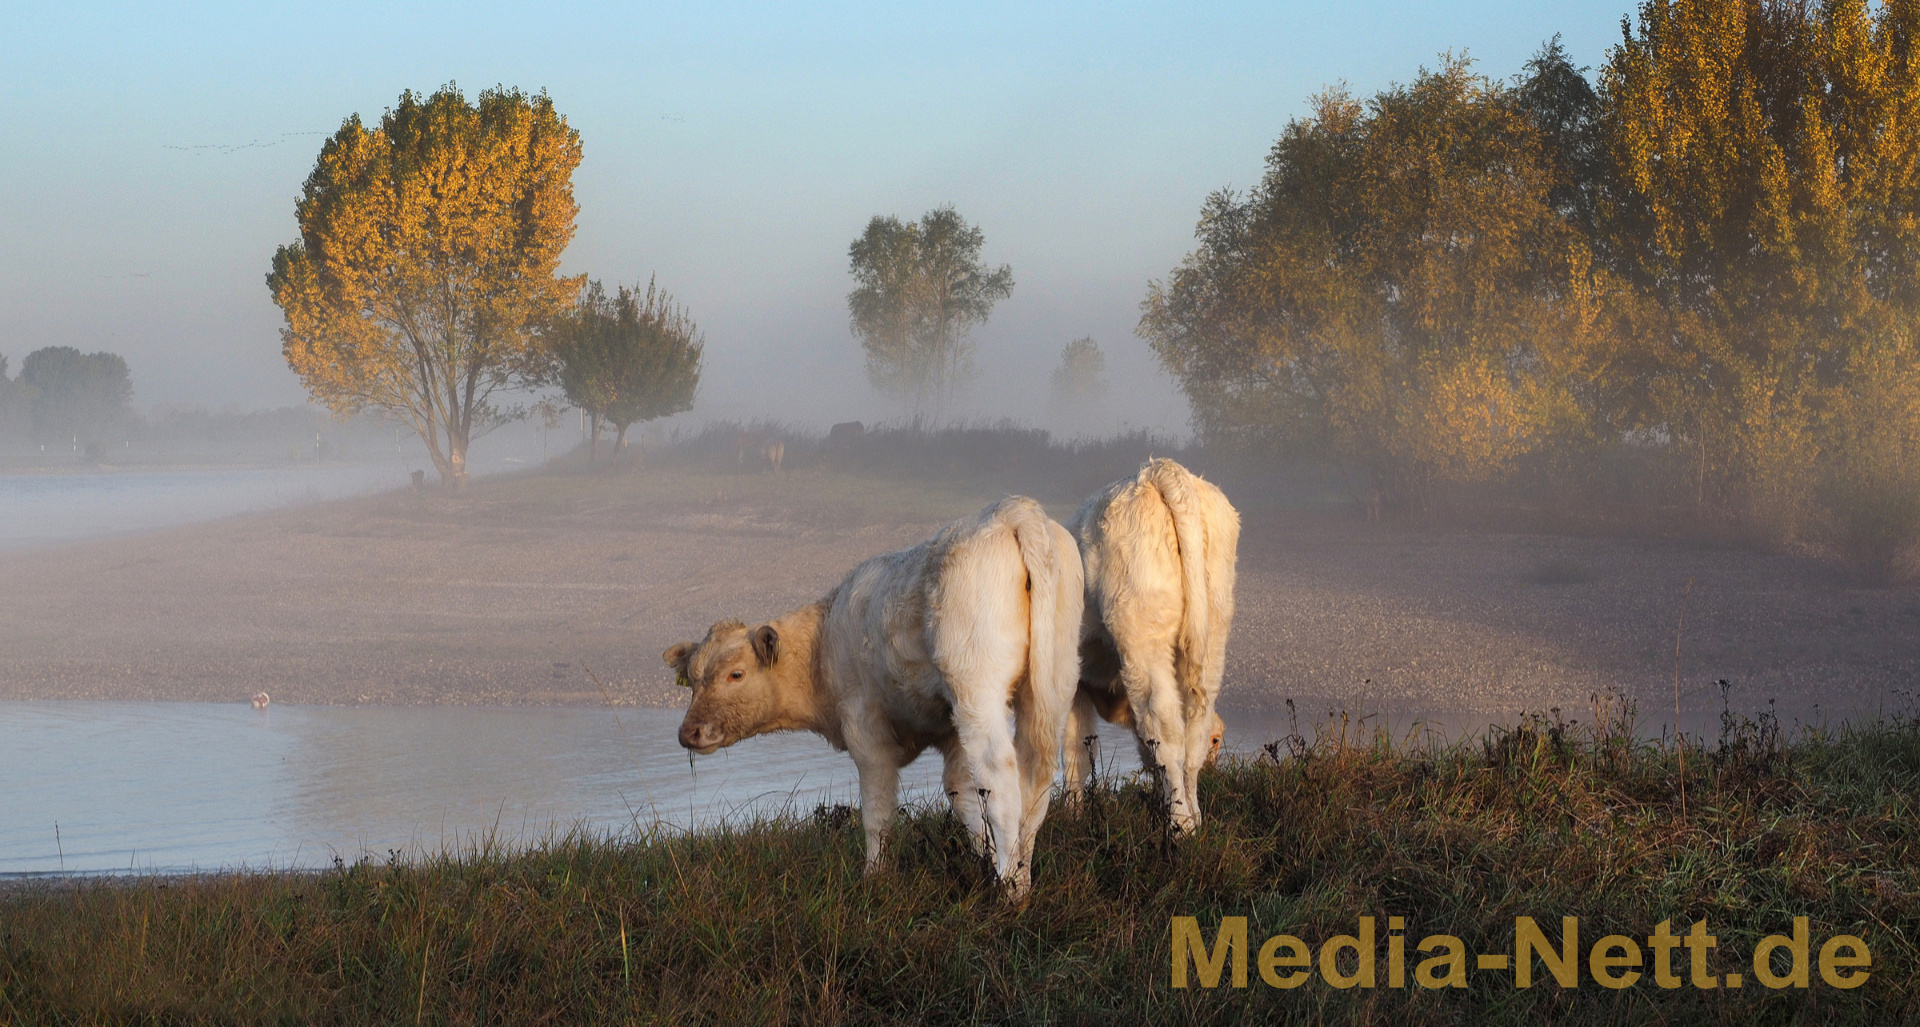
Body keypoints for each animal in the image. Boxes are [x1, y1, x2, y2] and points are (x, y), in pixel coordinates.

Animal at [664, 495, 1082, 906]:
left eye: (736, 674)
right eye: (693, 680)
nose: (689, 732)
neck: (823, 646)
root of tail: (1013, 509)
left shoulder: (864, 726)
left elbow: (878, 809)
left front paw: (874, 877)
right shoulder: (949, 728)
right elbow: (963, 797)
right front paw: (982, 862)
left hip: (976, 684)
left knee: (1002, 778)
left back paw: (1011, 890)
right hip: (1054, 680)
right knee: (1035, 778)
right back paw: (1021, 877)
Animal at [1067, 458, 1244, 836]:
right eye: (1218, 742)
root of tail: (1158, 469)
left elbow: (1075, 752)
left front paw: (1071, 818)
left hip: (1144, 641)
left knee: (1164, 728)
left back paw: (1181, 826)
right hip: (1214, 637)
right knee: (1191, 734)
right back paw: (1194, 817)